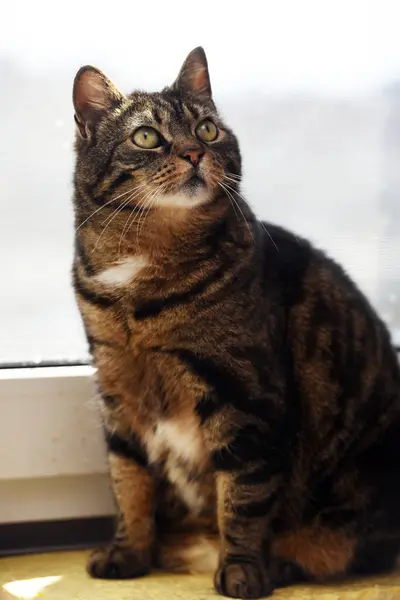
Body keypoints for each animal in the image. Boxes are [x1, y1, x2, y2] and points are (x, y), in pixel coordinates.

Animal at [71, 48, 400, 600]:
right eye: (147, 137)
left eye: (206, 129)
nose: (193, 153)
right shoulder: (116, 391)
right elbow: (129, 481)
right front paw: (128, 552)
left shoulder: (245, 398)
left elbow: (242, 497)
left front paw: (241, 569)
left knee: (348, 548)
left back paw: (279, 564)